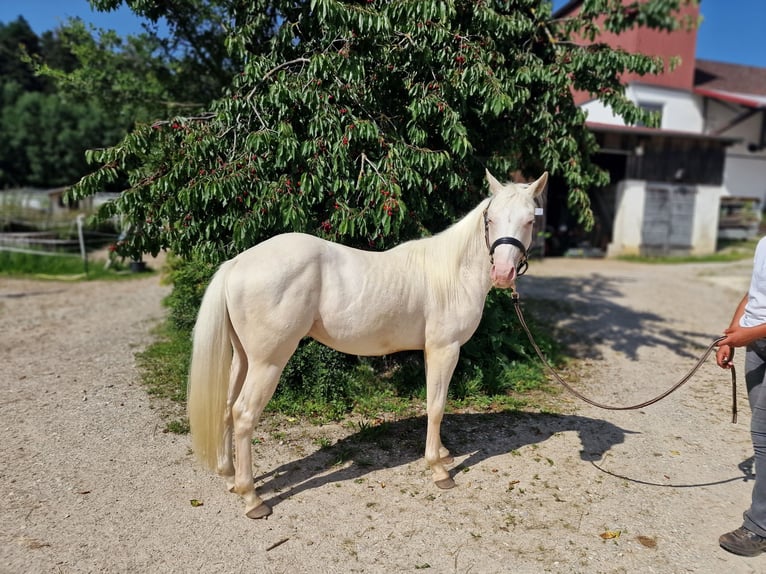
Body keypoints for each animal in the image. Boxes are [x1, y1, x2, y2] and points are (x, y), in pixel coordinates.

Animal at [188, 169, 548, 520]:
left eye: (529, 221)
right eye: (491, 219)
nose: (503, 273)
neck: (452, 273)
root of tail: (237, 263)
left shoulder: (432, 351)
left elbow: (433, 402)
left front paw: (443, 453)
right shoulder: (445, 349)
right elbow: (437, 406)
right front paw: (438, 470)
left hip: (243, 358)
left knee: (226, 407)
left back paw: (230, 476)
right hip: (268, 363)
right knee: (244, 414)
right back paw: (252, 498)